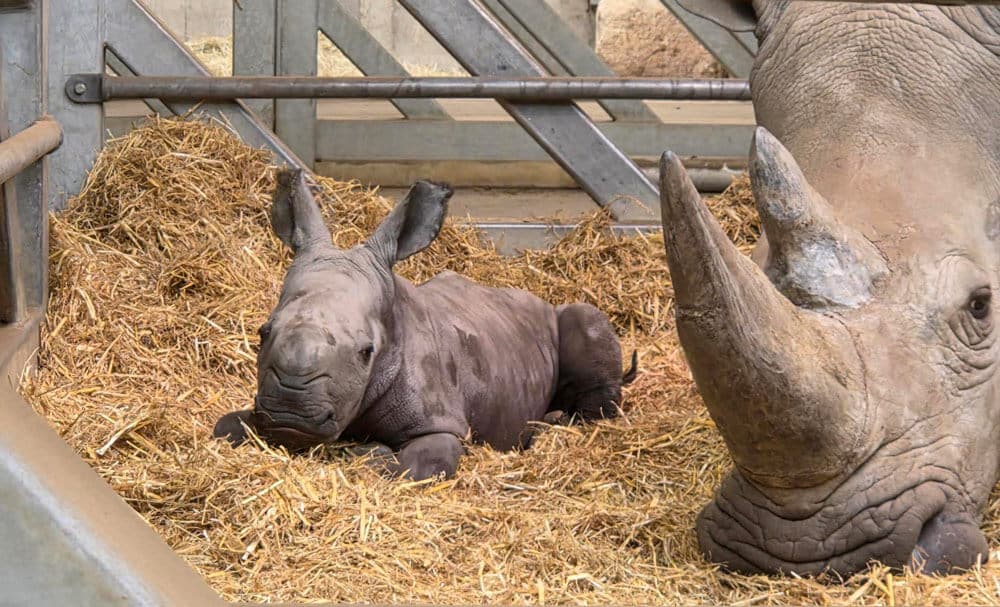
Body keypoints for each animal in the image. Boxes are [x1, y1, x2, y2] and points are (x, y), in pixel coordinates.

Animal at [214, 169, 636, 480]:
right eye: (262, 333)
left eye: (366, 352)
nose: (290, 416)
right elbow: (225, 427)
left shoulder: (441, 424)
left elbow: (414, 467)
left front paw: (371, 452)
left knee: (587, 323)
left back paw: (553, 424)